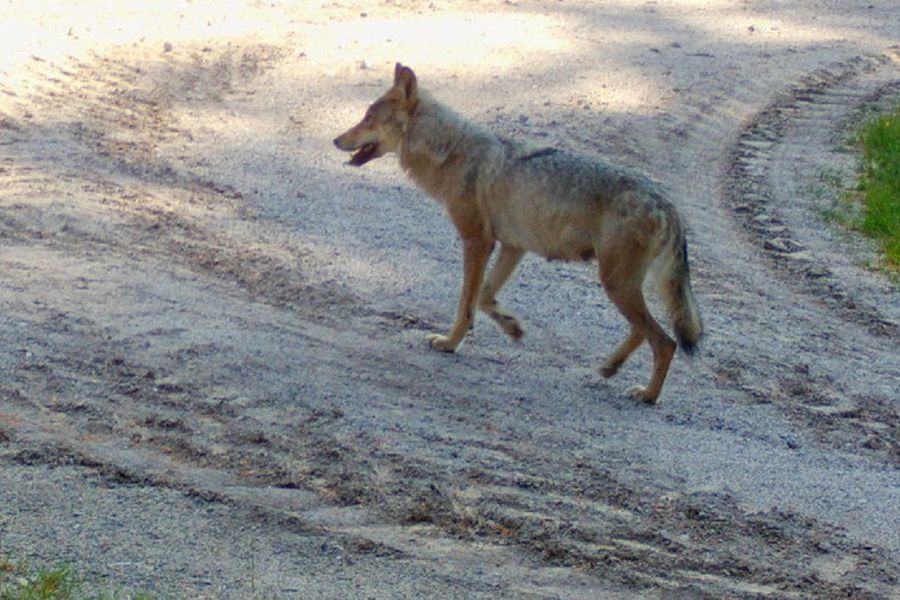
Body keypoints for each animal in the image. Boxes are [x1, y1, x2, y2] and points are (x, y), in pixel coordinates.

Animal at [336, 62, 704, 404]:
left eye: (368, 118)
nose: (335, 140)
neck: (451, 153)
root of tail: (666, 202)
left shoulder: (477, 242)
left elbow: (466, 303)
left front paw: (450, 343)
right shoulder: (512, 246)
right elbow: (484, 297)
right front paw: (512, 326)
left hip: (617, 285)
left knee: (666, 341)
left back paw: (648, 395)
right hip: (620, 286)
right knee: (645, 333)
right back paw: (610, 367)